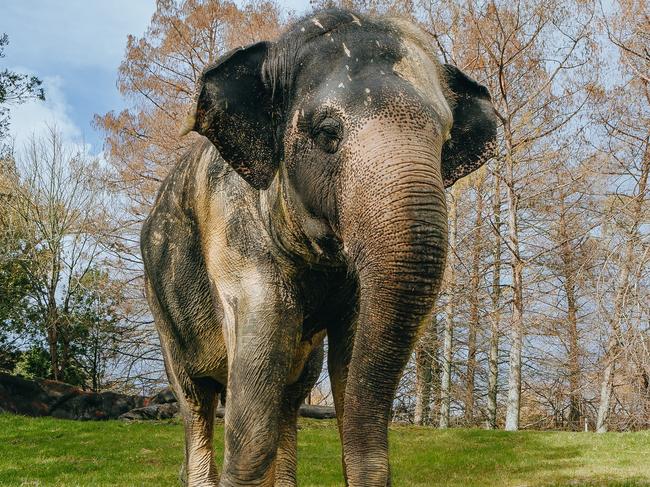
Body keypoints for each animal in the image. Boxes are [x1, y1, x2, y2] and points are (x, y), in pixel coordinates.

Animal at [142, 7, 494, 487]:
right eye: (327, 132)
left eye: (444, 142)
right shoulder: (236, 235)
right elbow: (257, 384)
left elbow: (352, 349)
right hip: (162, 308)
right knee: (195, 399)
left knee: (290, 395)